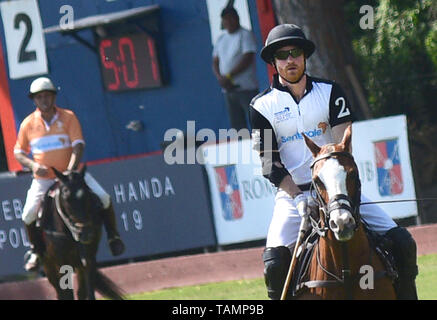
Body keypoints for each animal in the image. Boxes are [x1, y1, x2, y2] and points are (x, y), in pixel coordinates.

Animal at [36, 165, 123, 300]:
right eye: (65, 197)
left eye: (87, 194)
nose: (85, 233)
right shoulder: (59, 262)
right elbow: (67, 294)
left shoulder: (88, 257)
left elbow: (88, 291)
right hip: (48, 264)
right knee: (60, 291)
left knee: (80, 291)